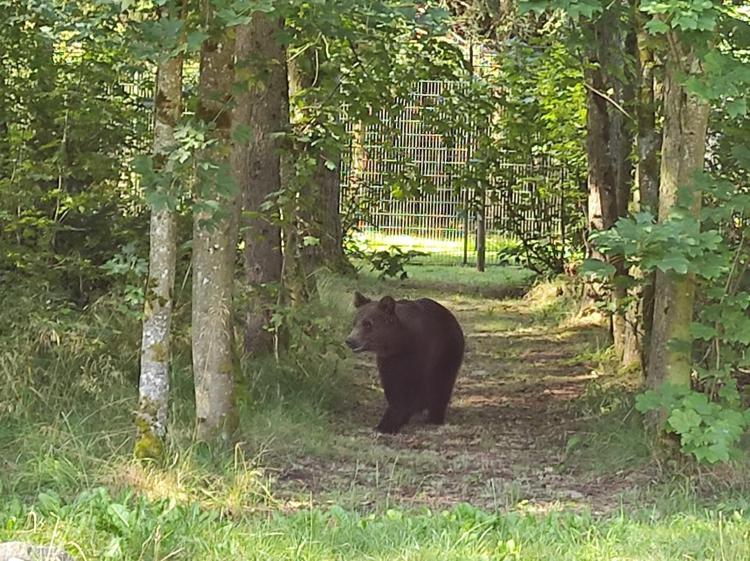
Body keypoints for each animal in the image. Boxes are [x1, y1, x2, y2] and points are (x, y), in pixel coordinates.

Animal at [346, 294, 464, 434]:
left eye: (367, 324)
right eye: (354, 323)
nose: (350, 340)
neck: (401, 342)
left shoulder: (420, 355)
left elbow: (411, 391)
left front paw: (387, 424)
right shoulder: (390, 361)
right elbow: (394, 388)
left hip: (448, 352)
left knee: (442, 384)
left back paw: (435, 417)